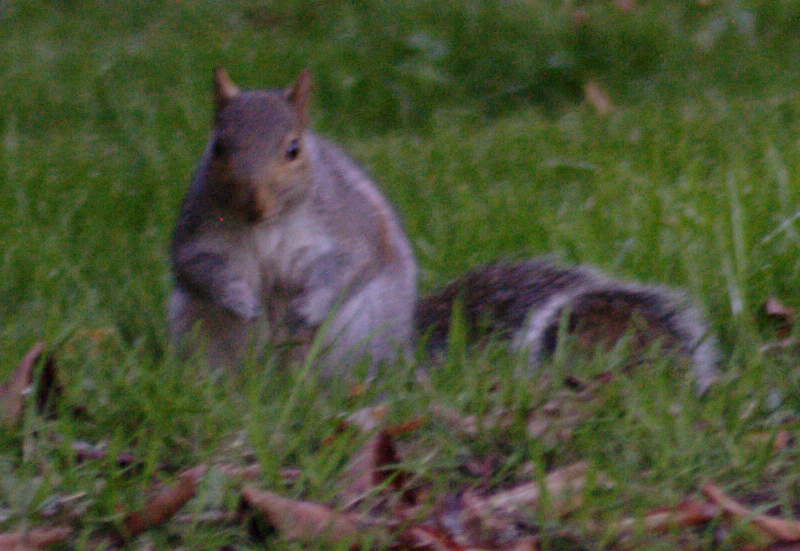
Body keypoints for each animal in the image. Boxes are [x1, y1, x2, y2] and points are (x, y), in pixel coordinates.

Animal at [168, 69, 718, 392]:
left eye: (293, 148)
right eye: (218, 147)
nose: (253, 202)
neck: (266, 226)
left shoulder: (346, 231)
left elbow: (345, 267)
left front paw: (307, 306)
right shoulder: (197, 233)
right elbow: (196, 268)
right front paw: (240, 297)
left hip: (357, 336)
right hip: (200, 334)